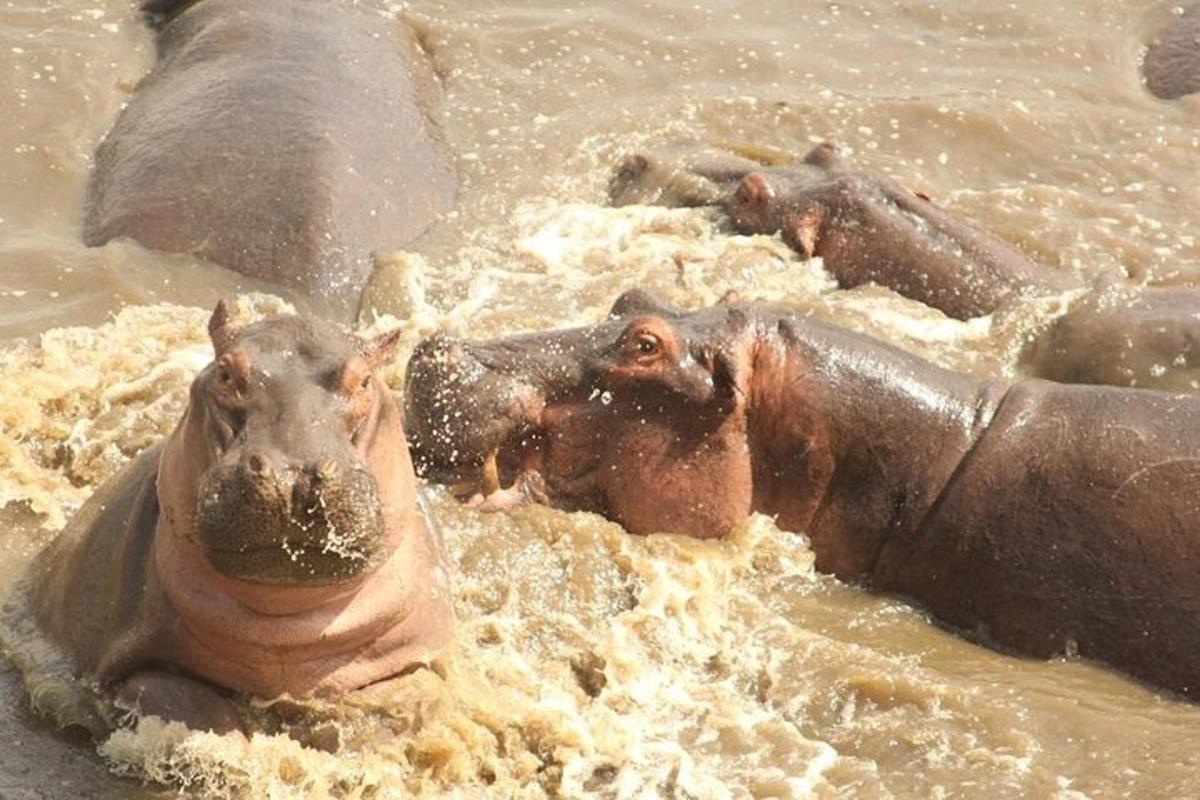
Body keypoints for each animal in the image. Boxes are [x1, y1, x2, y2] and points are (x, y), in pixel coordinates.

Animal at [23, 303, 453, 734]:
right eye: (225, 373)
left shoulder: (418, 659)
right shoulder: (132, 669)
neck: (284, 623)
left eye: (364, 381)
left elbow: (397, 696)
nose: (292, 474)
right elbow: (195, 705)